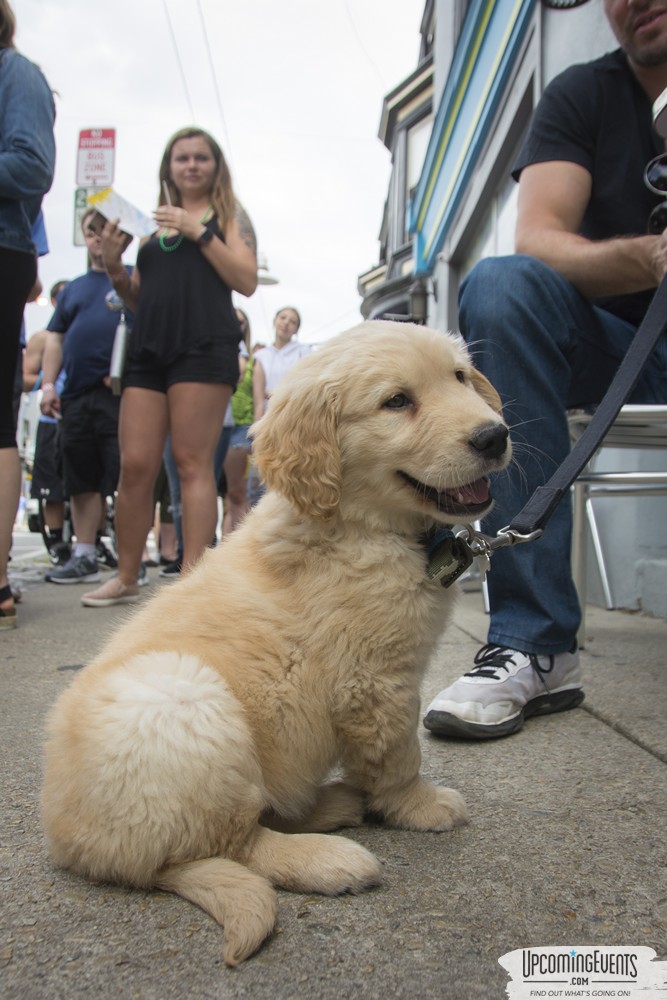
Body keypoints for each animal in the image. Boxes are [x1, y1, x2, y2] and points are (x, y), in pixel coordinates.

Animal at [40, 320, 512, 960]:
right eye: (396, 402)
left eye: (460, 378)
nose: (495, 436)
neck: (358, 526)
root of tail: (72, 845)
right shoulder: (376, 684)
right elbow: (398, 756)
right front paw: (420, 805)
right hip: (181, 699)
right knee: (235, 844)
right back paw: (329, 858)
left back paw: (333, 805)